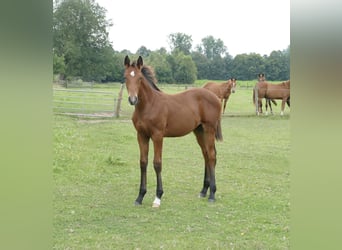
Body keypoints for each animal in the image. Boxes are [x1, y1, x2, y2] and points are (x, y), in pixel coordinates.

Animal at [124, 55, 223, 208]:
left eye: (140, 78)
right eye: (125, 77)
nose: (132, 99)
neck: (149, 105)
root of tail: (216, 97)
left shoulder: (158, 136)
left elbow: (157, 163)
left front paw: (158, 197)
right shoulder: (141, 135)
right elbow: (143, 162)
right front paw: (140, 197)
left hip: (209, 129)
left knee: (212, 155)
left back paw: (212, 194)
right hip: (199, 131)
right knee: (206, 155)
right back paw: (203, 191)